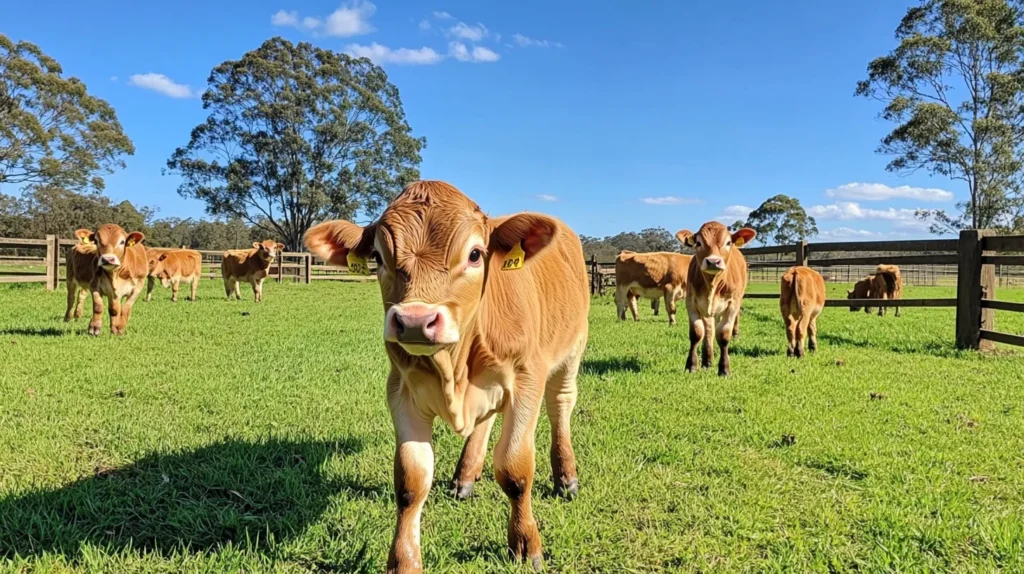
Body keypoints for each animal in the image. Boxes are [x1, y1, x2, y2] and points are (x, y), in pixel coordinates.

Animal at [303, 180, 589, 572]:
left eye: (475, 255)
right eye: (378, 257)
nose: (414, 321)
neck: (453, 369)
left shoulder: (526, 380)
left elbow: (514, 469)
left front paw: (525, 543)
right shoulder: (401, 391)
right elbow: (411, 480)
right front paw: (404, 560)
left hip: (572, 351)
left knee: (560, 404)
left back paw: (566, 477)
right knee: (485, 420)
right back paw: (466, 476)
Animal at [675, 219, 757, 376]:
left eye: (728, 242)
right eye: (698, 243)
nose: (713, 262)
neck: (713, 285)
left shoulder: (732, 305)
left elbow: (724, 335)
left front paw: (724, 368)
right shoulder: (691, 303)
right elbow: (697, 333)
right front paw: (691, 365)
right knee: (709, 332)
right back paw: (707, 360)